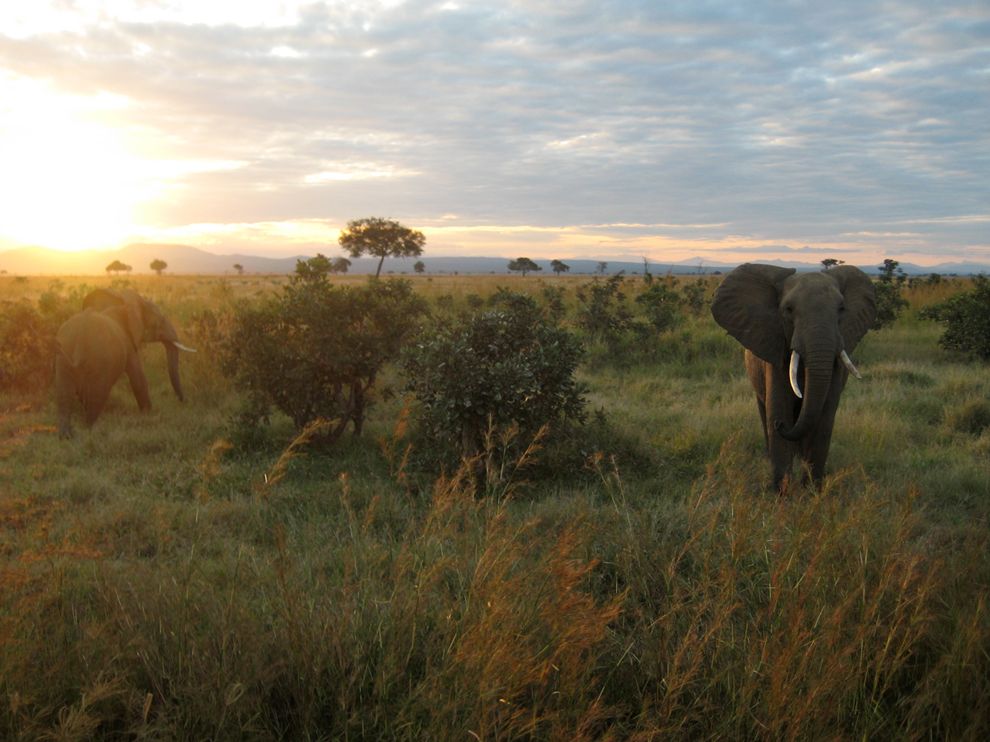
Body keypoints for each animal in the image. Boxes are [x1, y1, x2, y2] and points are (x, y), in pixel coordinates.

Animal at [55, 290, 197, 442]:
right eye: (161, 320)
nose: (184, 401)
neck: (125, 304)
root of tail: (80, 338)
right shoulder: (129, 343)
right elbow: (138, 378)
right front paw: (148, 414)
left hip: (63, 356)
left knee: (64, 395)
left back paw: (66, 437)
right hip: (99, 362)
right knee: (96, 396)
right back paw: (91, 432)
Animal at [708, 264, 880, 492]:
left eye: (841, 309)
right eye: (788, 310)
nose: (780, 426)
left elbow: (825, 416)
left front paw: (812, 491)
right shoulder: (776, 351)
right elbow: (778, 407)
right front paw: (782, 493)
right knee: (764, 408)